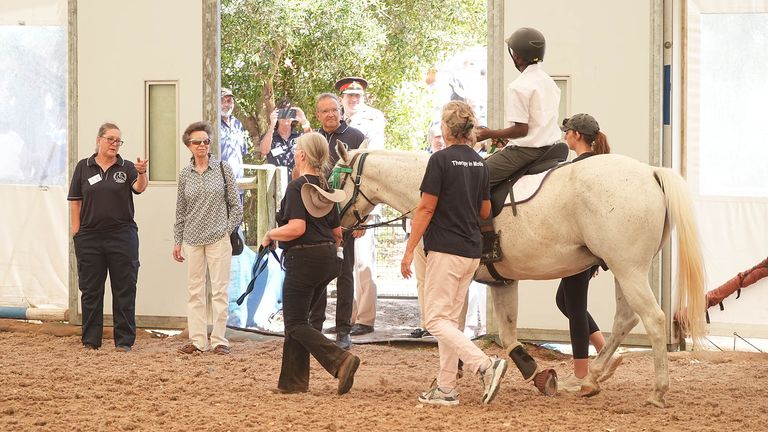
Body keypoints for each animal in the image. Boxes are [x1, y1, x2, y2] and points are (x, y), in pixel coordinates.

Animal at [336, 146, 708, 408]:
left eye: (338, 179)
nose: (339, 226)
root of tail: (650, 172)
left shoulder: (447, 277)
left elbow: (449, 326)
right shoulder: (502, 282)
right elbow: (506, 333)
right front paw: (532, 371)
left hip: (628, 269)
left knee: (654, 319)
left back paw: (657, 391)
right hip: (624, 268)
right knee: (625, 319)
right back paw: (591, 380)